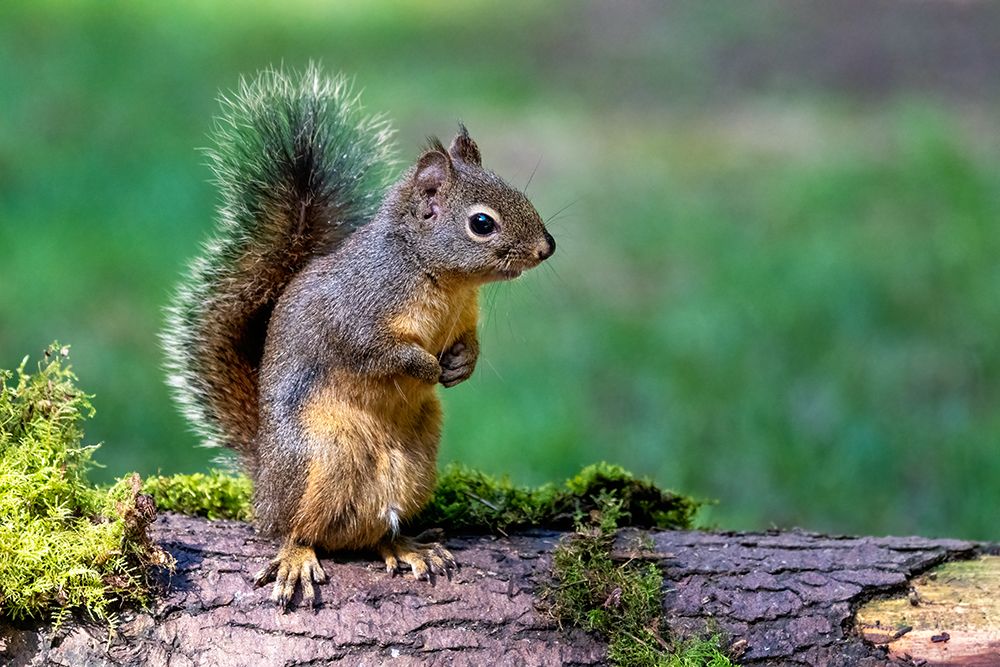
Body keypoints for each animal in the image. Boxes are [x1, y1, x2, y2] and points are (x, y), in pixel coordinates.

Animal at [162, 66, 555, 608]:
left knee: (372, 531)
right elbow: (380, 352)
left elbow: (470, 342)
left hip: (413, 465)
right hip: (320, 458)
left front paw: (463, 364)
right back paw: (296, 556)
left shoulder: (465, 318)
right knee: (299, 528)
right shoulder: (356, 317)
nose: (547, 248)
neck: (440, 278)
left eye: (519, 193)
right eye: (481, 223)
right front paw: (426, 366)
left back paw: (407, 546)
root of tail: (262, 485)